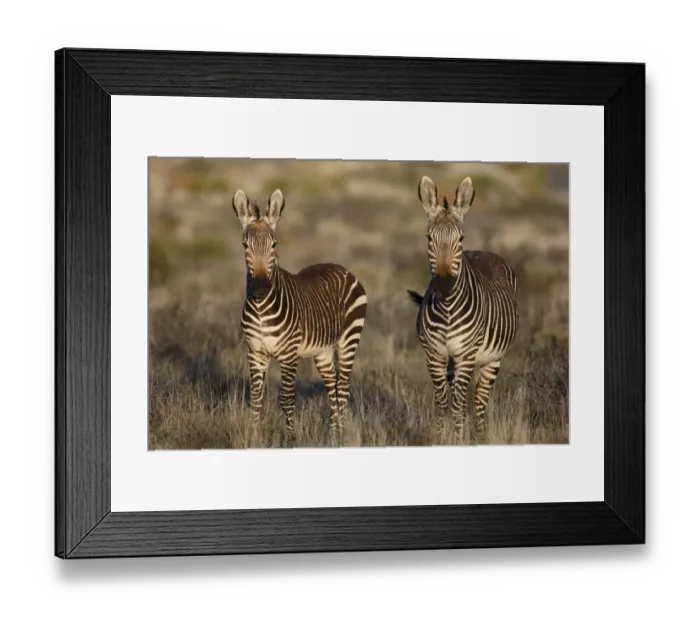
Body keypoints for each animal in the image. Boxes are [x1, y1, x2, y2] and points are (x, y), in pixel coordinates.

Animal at [231, 187, 367, 445]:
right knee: (333, 389)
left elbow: (286, 398)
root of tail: (343, 268)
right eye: (244, 245)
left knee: (343, 387)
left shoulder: (288, 354)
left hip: (349, 340)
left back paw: (342, 436)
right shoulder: (255, 352)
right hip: (323, 351)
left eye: (274, 244)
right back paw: (333, 435)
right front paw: (252, 437)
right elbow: (256, 397)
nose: (260, 289)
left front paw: (290, 439)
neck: (262, 310)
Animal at [407, 175, 518, 441]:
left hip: (492, 359)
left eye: (460, 239)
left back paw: (479, 436)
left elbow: (458, 403)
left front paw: (457, 440)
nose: (444, 284)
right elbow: (442, 402)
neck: (447, 309)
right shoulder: (434, 355)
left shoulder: (466, 354)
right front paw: (440, 439)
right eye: (428, 238)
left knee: (479, 399)